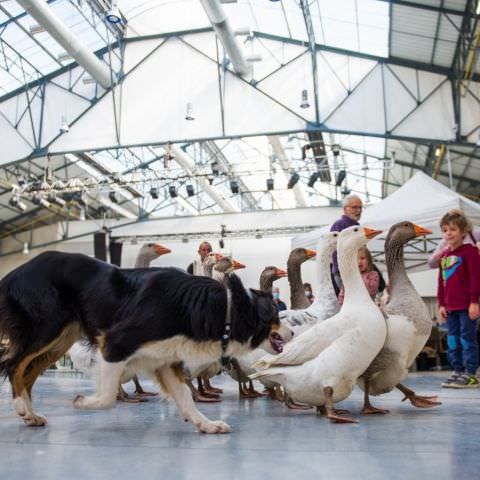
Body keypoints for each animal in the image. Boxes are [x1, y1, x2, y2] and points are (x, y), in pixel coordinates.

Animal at [0, 253, 284, 434]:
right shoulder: (115, 343)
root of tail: (15, 272)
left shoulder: (164, 359)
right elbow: (107, 397)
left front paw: (205, 424)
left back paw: (31, 414)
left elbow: (184, 395)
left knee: (28, 372)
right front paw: (83, 402)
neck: (221, 307)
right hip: (47, 327)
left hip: (61, 339)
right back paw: (21, 407)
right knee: (14, 365)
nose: (290, 331)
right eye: (276, 315)